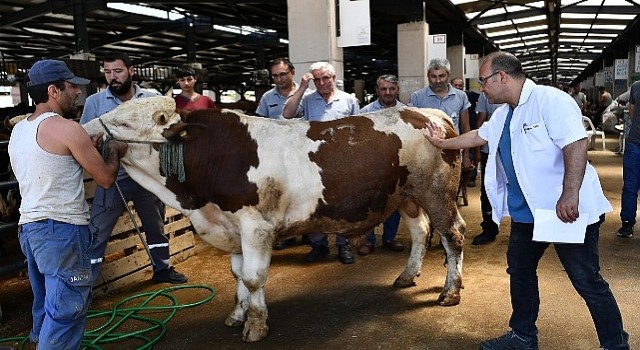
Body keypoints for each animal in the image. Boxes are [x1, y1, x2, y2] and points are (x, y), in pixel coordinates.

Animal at [84, 95, 464, 342]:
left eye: (123, 122)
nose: (83, 130)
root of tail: (430, 113)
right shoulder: (232, 227)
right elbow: (238, 275)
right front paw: (237, 314)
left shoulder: (257, 226)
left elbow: (254, 278)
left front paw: (255, 325)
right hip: (407, 197)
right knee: (421, 231)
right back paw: (407, 275)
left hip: (436, 193)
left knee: (452, 235)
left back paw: (450, 291)